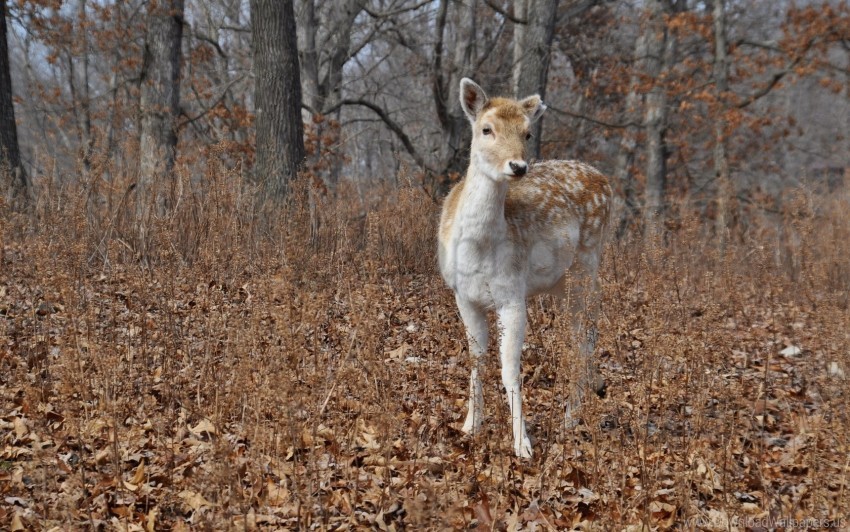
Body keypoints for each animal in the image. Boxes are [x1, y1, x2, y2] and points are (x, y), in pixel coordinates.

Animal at [438, 78, 608, 458]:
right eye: (486, 129)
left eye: (528, 133)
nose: (517, 166)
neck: (477, 252)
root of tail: (605, 179)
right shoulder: (463, 297)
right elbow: (476, 359)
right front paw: (470, 426)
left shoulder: (512, 295)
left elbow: (509, 369)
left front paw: (522, 444)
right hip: (560, 283)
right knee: (583, 336)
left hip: (587, 265)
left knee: (584, 338)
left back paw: (571, 417)